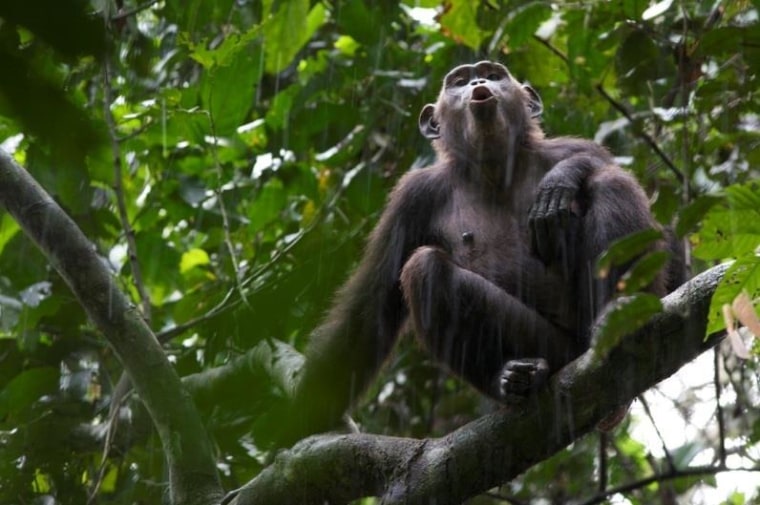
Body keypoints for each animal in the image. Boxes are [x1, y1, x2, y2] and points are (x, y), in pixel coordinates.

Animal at [272, 62, 672, 444]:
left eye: (494, 74)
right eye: (459, 81)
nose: (479, 82)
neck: (494, 167)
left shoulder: (570, 147)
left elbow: (601, 168)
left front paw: (563, 178)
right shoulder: (412, 198)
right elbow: (372, 304)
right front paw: (307, 413)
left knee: (610, 184)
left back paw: (619, 313)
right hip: (552, 347)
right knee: (425, 270)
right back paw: (515, 379)